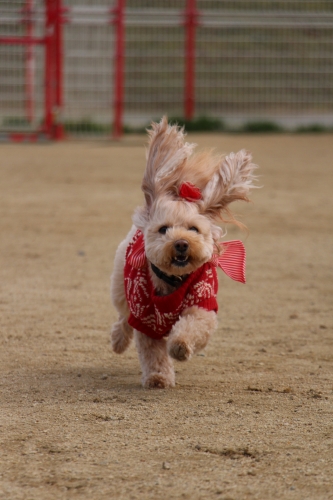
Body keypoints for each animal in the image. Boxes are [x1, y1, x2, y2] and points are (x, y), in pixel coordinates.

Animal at [110, 115, 255, 388]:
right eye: (163, 229)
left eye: (193, 229)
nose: (181, 244)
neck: (173, 280)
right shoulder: (145, 317)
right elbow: (152, 352)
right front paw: (158, 377)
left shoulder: (203, 304)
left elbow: (193, 326)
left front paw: (179, 347)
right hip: (120, 286)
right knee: (124, 316)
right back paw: (118, 340)